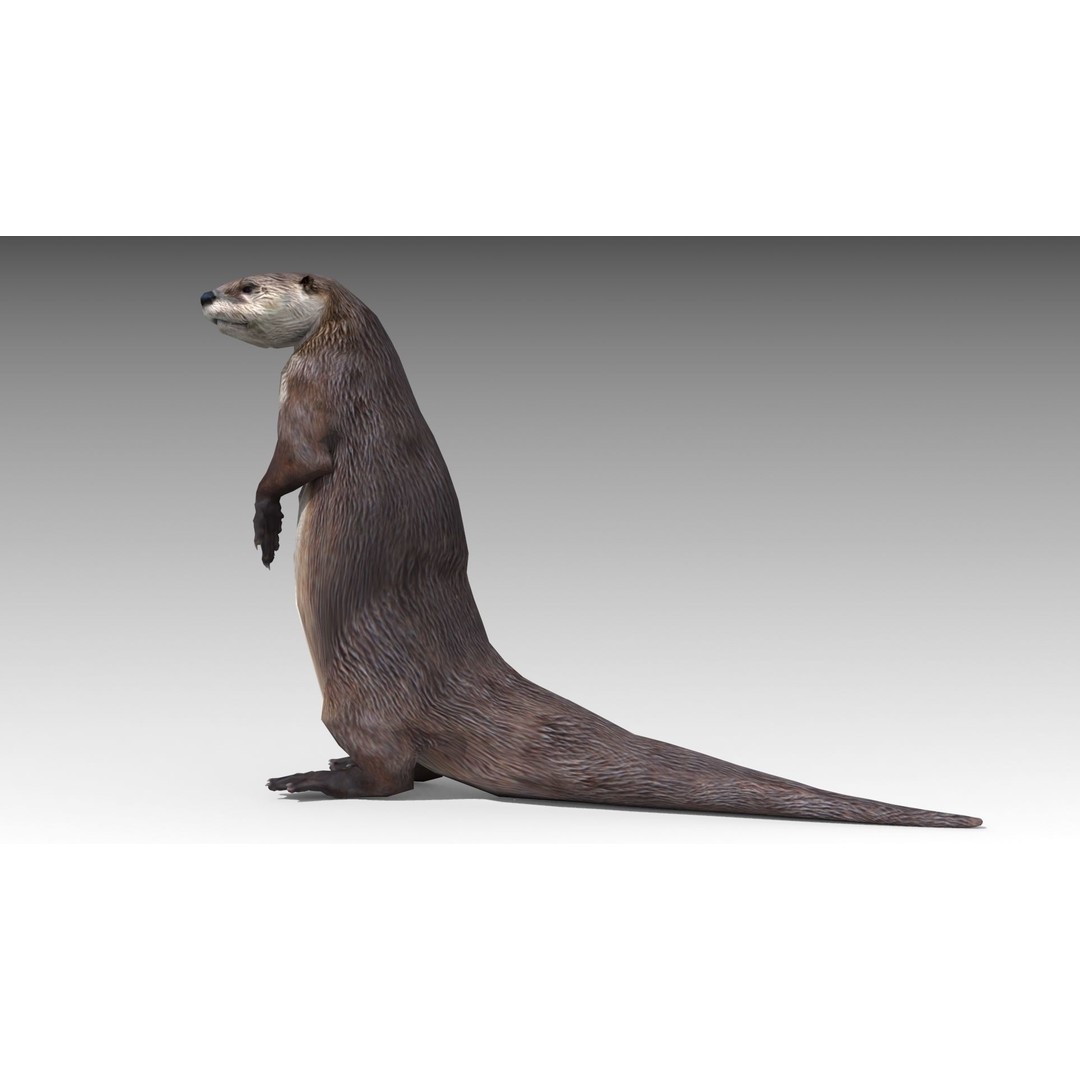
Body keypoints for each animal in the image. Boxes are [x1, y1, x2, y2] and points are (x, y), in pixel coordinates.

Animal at [199, 272, 982, 828]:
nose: (205, 292)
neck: (349, 350)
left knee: (389, 773)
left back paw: (314, 778)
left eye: (248, 283)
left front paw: (265, 526)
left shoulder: (311, 387)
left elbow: (295, 463)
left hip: (350, 696)